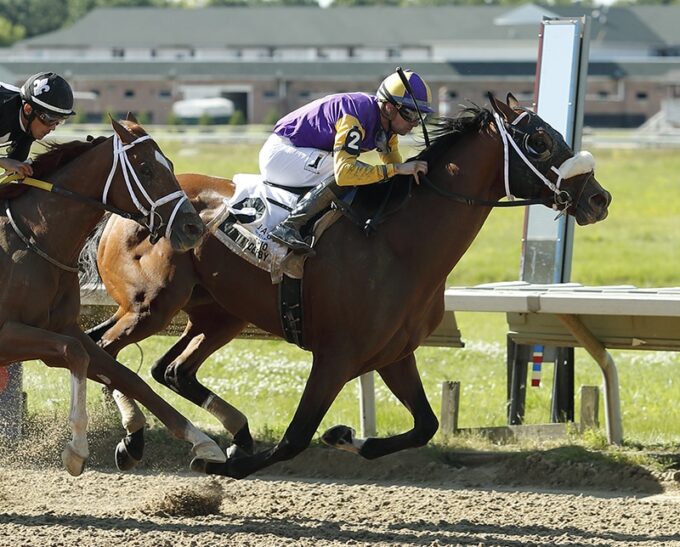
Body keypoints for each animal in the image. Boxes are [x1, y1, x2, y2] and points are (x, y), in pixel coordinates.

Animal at [0, 116, 227, 476]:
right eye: (146, 168)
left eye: (170, 164)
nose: (194, 228)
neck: (34, 242)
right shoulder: (9, 333)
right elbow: (76, 353)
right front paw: (77, 448)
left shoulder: (59, 329)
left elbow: (125, 375)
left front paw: (203, 442)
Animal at [91, 95, 612, 480]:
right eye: (539, 141)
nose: (599, 198)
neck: (399, 244)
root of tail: (124, 206)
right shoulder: (335, 356)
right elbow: (295, 437)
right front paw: (226, 466)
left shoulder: (394, 355)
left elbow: (426, 425)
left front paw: (343, 436)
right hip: (152, 305)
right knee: (106, 353)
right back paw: (138, 440)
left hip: (218, 314)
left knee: (167, 368)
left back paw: (225, 434)